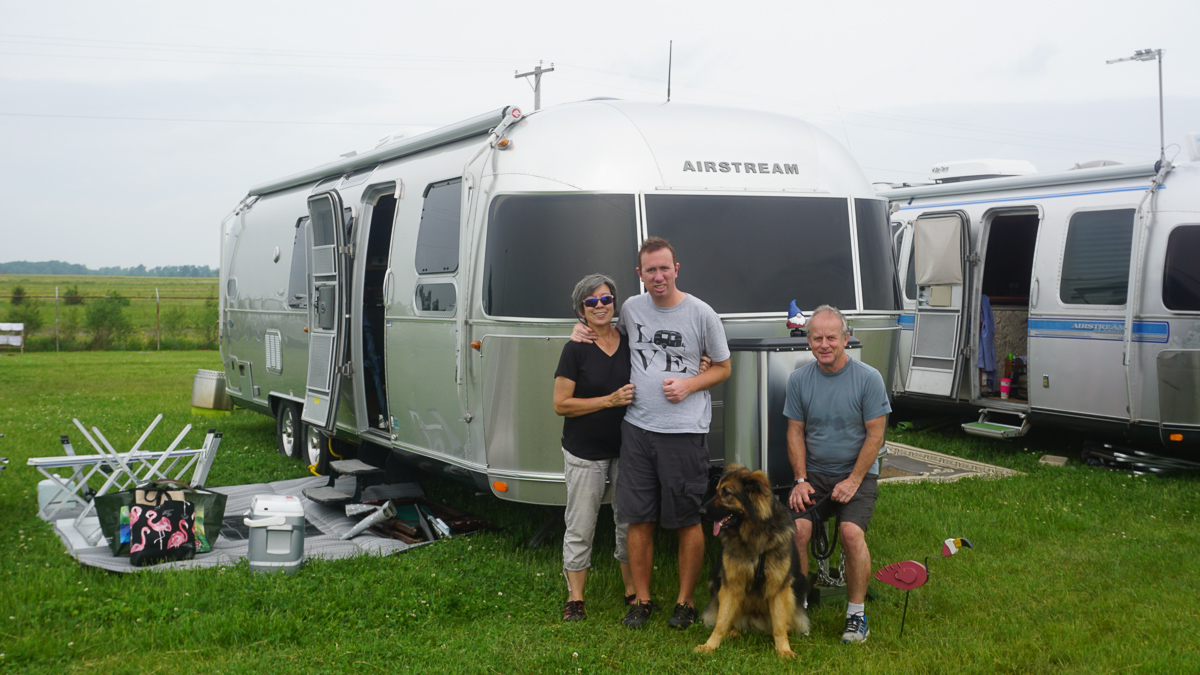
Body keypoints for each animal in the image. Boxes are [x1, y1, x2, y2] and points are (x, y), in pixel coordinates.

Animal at [691, 466, 811, 653]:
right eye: (716, 491)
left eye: (726, 493)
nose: (700, 512)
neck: (754, 535)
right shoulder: (731, 584)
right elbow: (721, 621)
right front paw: (709, 646)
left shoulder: (778, 587)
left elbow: (779, 626)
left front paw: (783, 650)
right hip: (715, 579)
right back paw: (733, 633)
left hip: (799, 584)